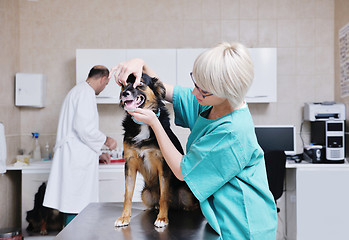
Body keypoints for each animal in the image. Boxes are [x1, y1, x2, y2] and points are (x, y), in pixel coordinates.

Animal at [115, 73, 197, 229]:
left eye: (140, 83)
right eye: (123, 84)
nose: (124, 93)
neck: (143, 125)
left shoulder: (163, 165)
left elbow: (164, 196)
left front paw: (162, 219)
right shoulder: (129, 163)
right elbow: (127, 195)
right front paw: (124, 217)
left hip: (186, 193)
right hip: (145, 194)